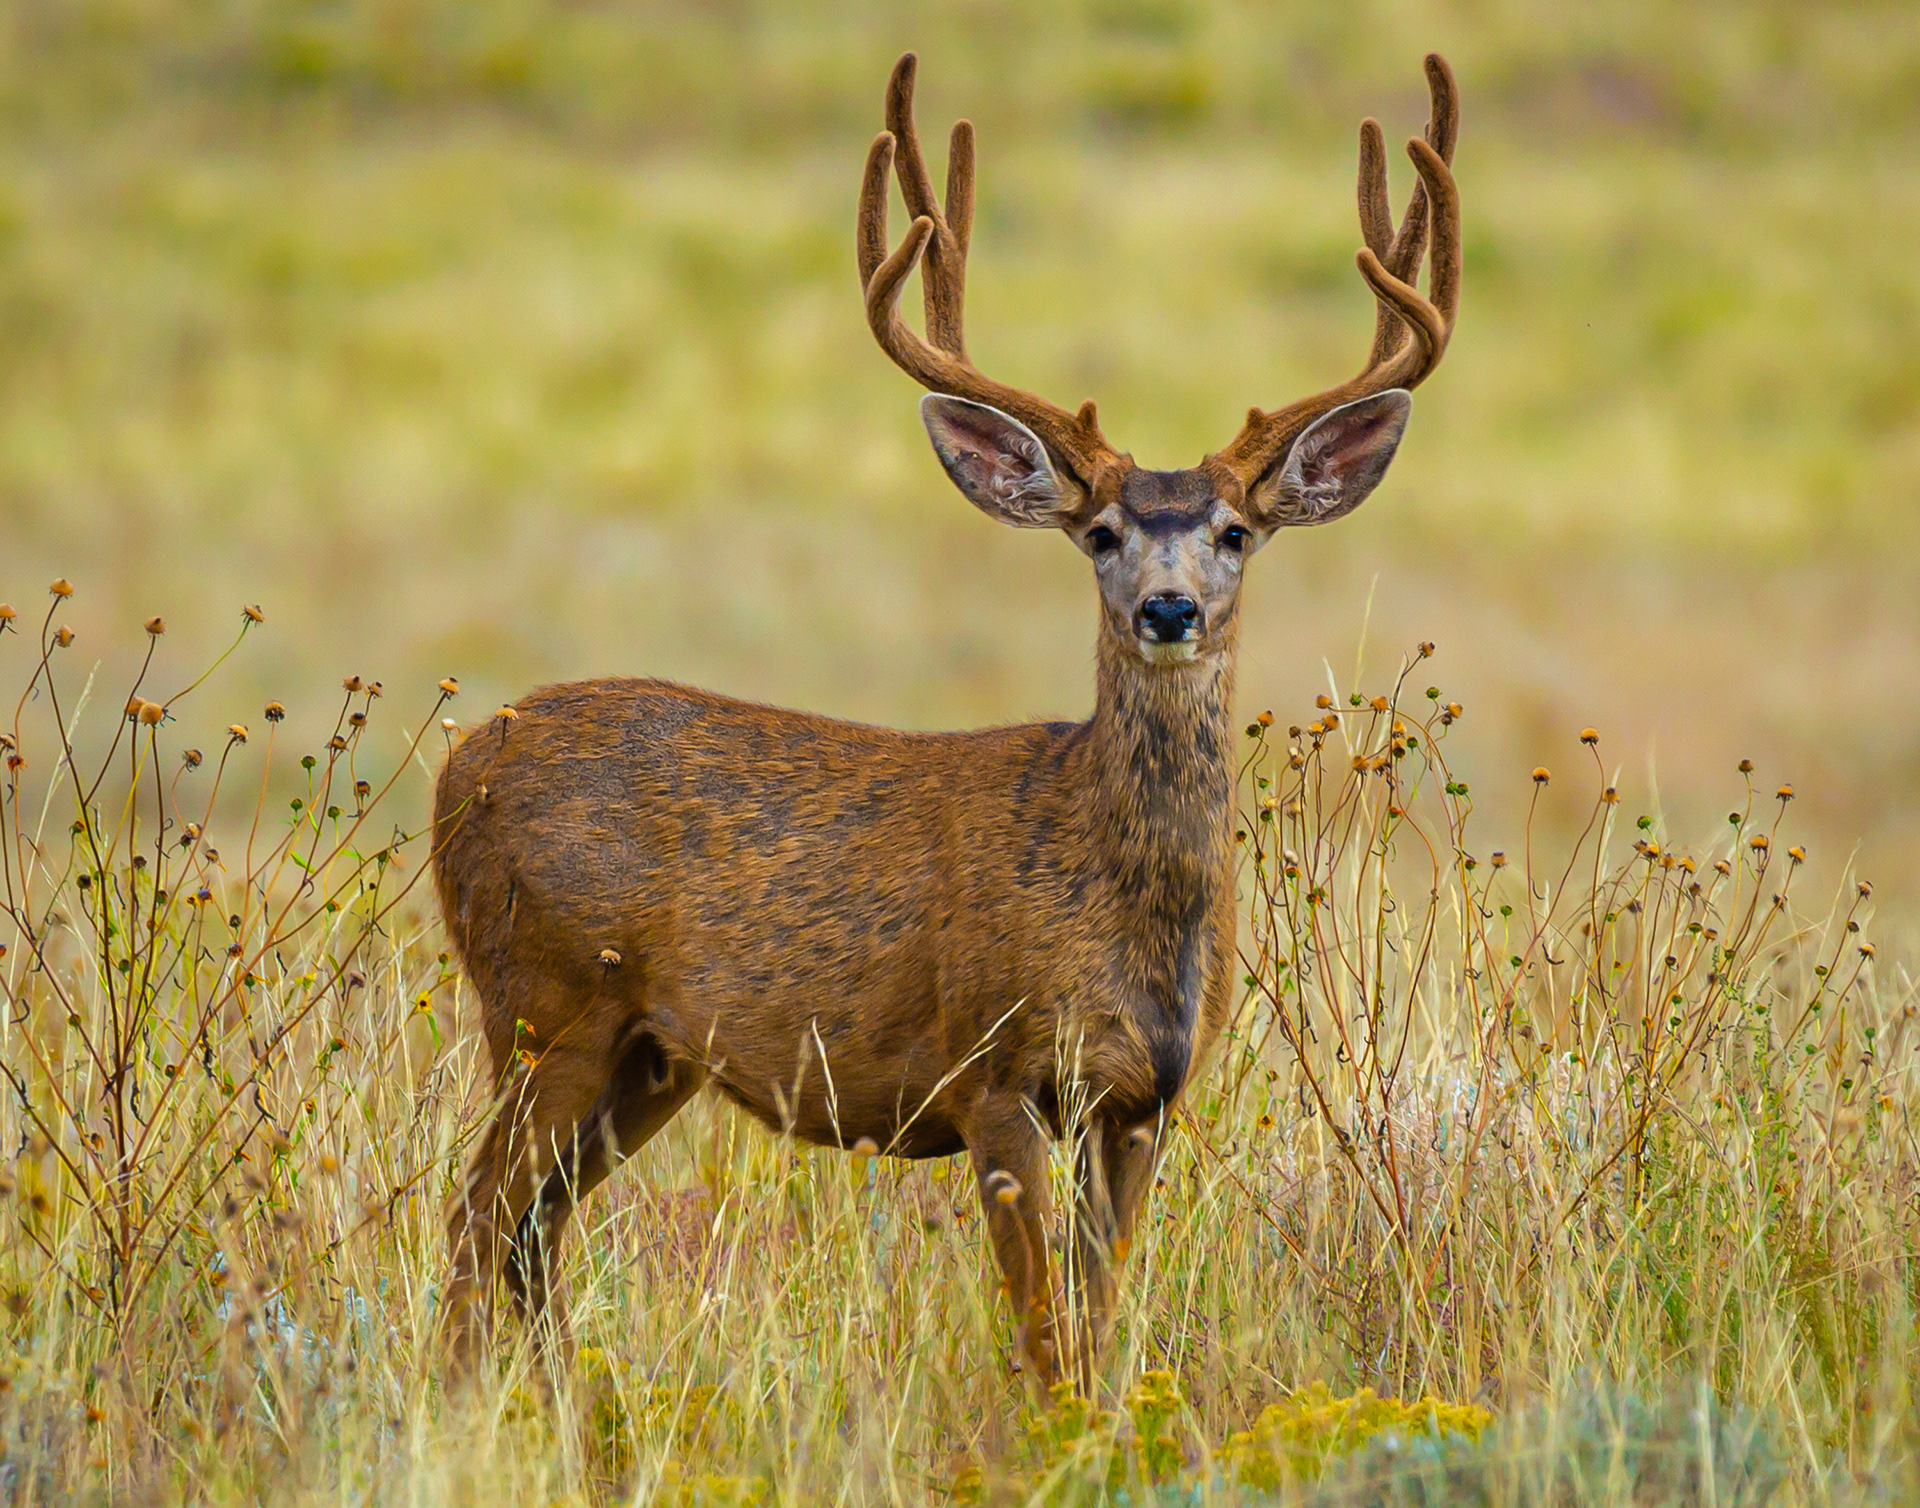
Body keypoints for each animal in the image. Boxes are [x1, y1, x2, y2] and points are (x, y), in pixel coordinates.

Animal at [433, 50, 1460, 1396]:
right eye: (1101, 532)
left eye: (1235, 529)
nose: (1169, 606)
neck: (1119, 909)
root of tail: (454, 767)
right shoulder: (995, 1068)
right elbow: (1042, 1334)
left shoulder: (1143, 1099)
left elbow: (1097, 1319)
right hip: (546, 997)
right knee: (474, 1223)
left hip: (646, 1052)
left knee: (530, 1228)